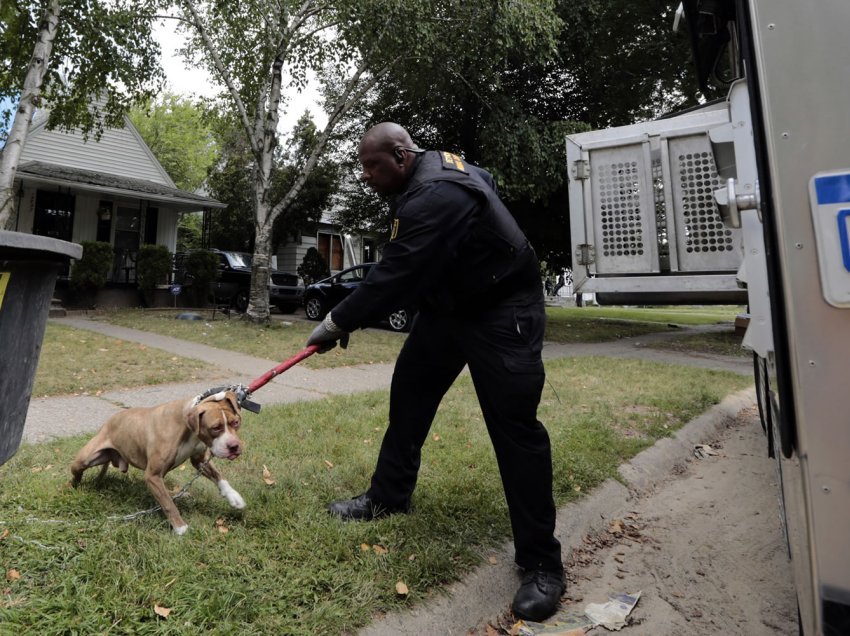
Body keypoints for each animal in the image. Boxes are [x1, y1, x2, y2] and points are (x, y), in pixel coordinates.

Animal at [70, 390, 245, 536]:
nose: (234, 446)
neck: (188, 429)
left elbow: (219, 477)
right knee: (76, 472)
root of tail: (107, 423)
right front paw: (180, 528)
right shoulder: (152, 475)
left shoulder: (200, 461)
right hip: (85, 459)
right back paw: (73, 487)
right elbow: (168, 504)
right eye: (215, 428)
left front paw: (233, 496)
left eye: (236, 423)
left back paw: (178, 494)